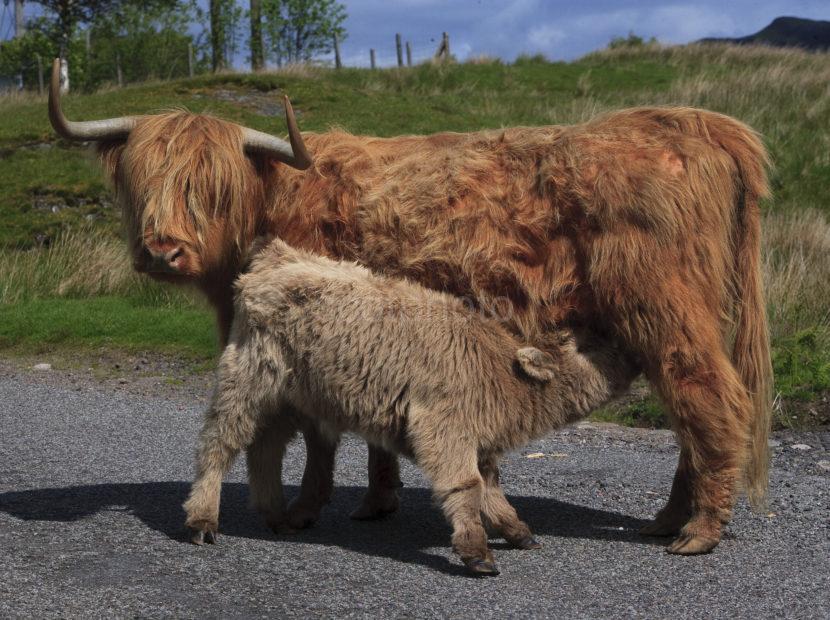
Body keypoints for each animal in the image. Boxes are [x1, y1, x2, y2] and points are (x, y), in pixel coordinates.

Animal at [182, 239, 636, 576]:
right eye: (588, 345)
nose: (627, 342)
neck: (497, 372)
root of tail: (278, 255)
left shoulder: (478, 441)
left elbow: (490, 486)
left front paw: (516, 530)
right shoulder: (444, 428)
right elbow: (467, 487)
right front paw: (477, 552)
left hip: (290, 399)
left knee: (265, 448)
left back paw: (277, 515)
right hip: (248, 378)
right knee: (219, 442)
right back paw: (203, 519)